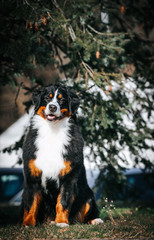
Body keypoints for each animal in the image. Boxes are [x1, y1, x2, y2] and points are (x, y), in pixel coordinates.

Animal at [21, 84, 103, 227]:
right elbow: (31, 203)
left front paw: (61, 222)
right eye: (47, 98)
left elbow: (63, 201)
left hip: (88, 195)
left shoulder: (69, 176)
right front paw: (28, 223)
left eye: (62, 100)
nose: (52, 107)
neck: (53, 131)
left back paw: (95, 220)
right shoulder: (32, 176)